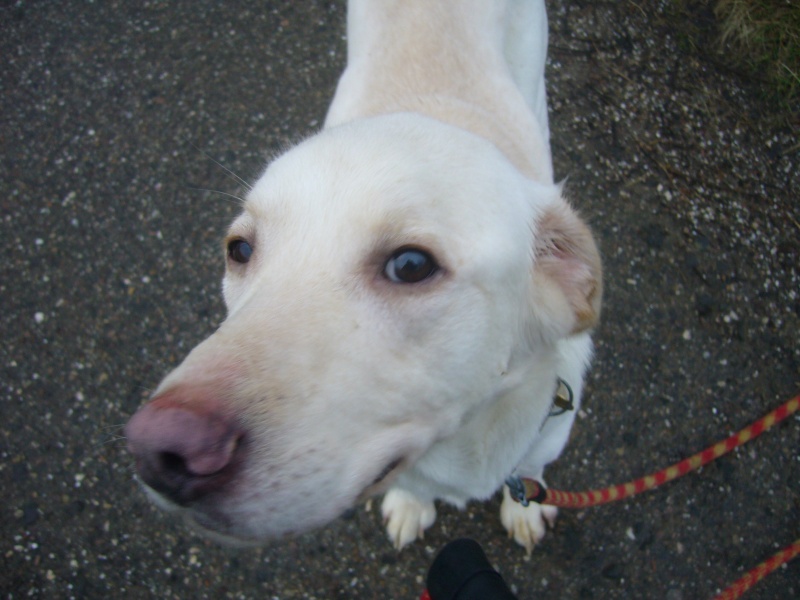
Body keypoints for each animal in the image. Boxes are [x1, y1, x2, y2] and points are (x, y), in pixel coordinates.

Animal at [125, 0, 600, 552]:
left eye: (411, 265)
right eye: (239, 249)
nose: (161, 450)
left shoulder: (543, 439)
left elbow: (529, 470)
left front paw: (525, 506)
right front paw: (412, 504)